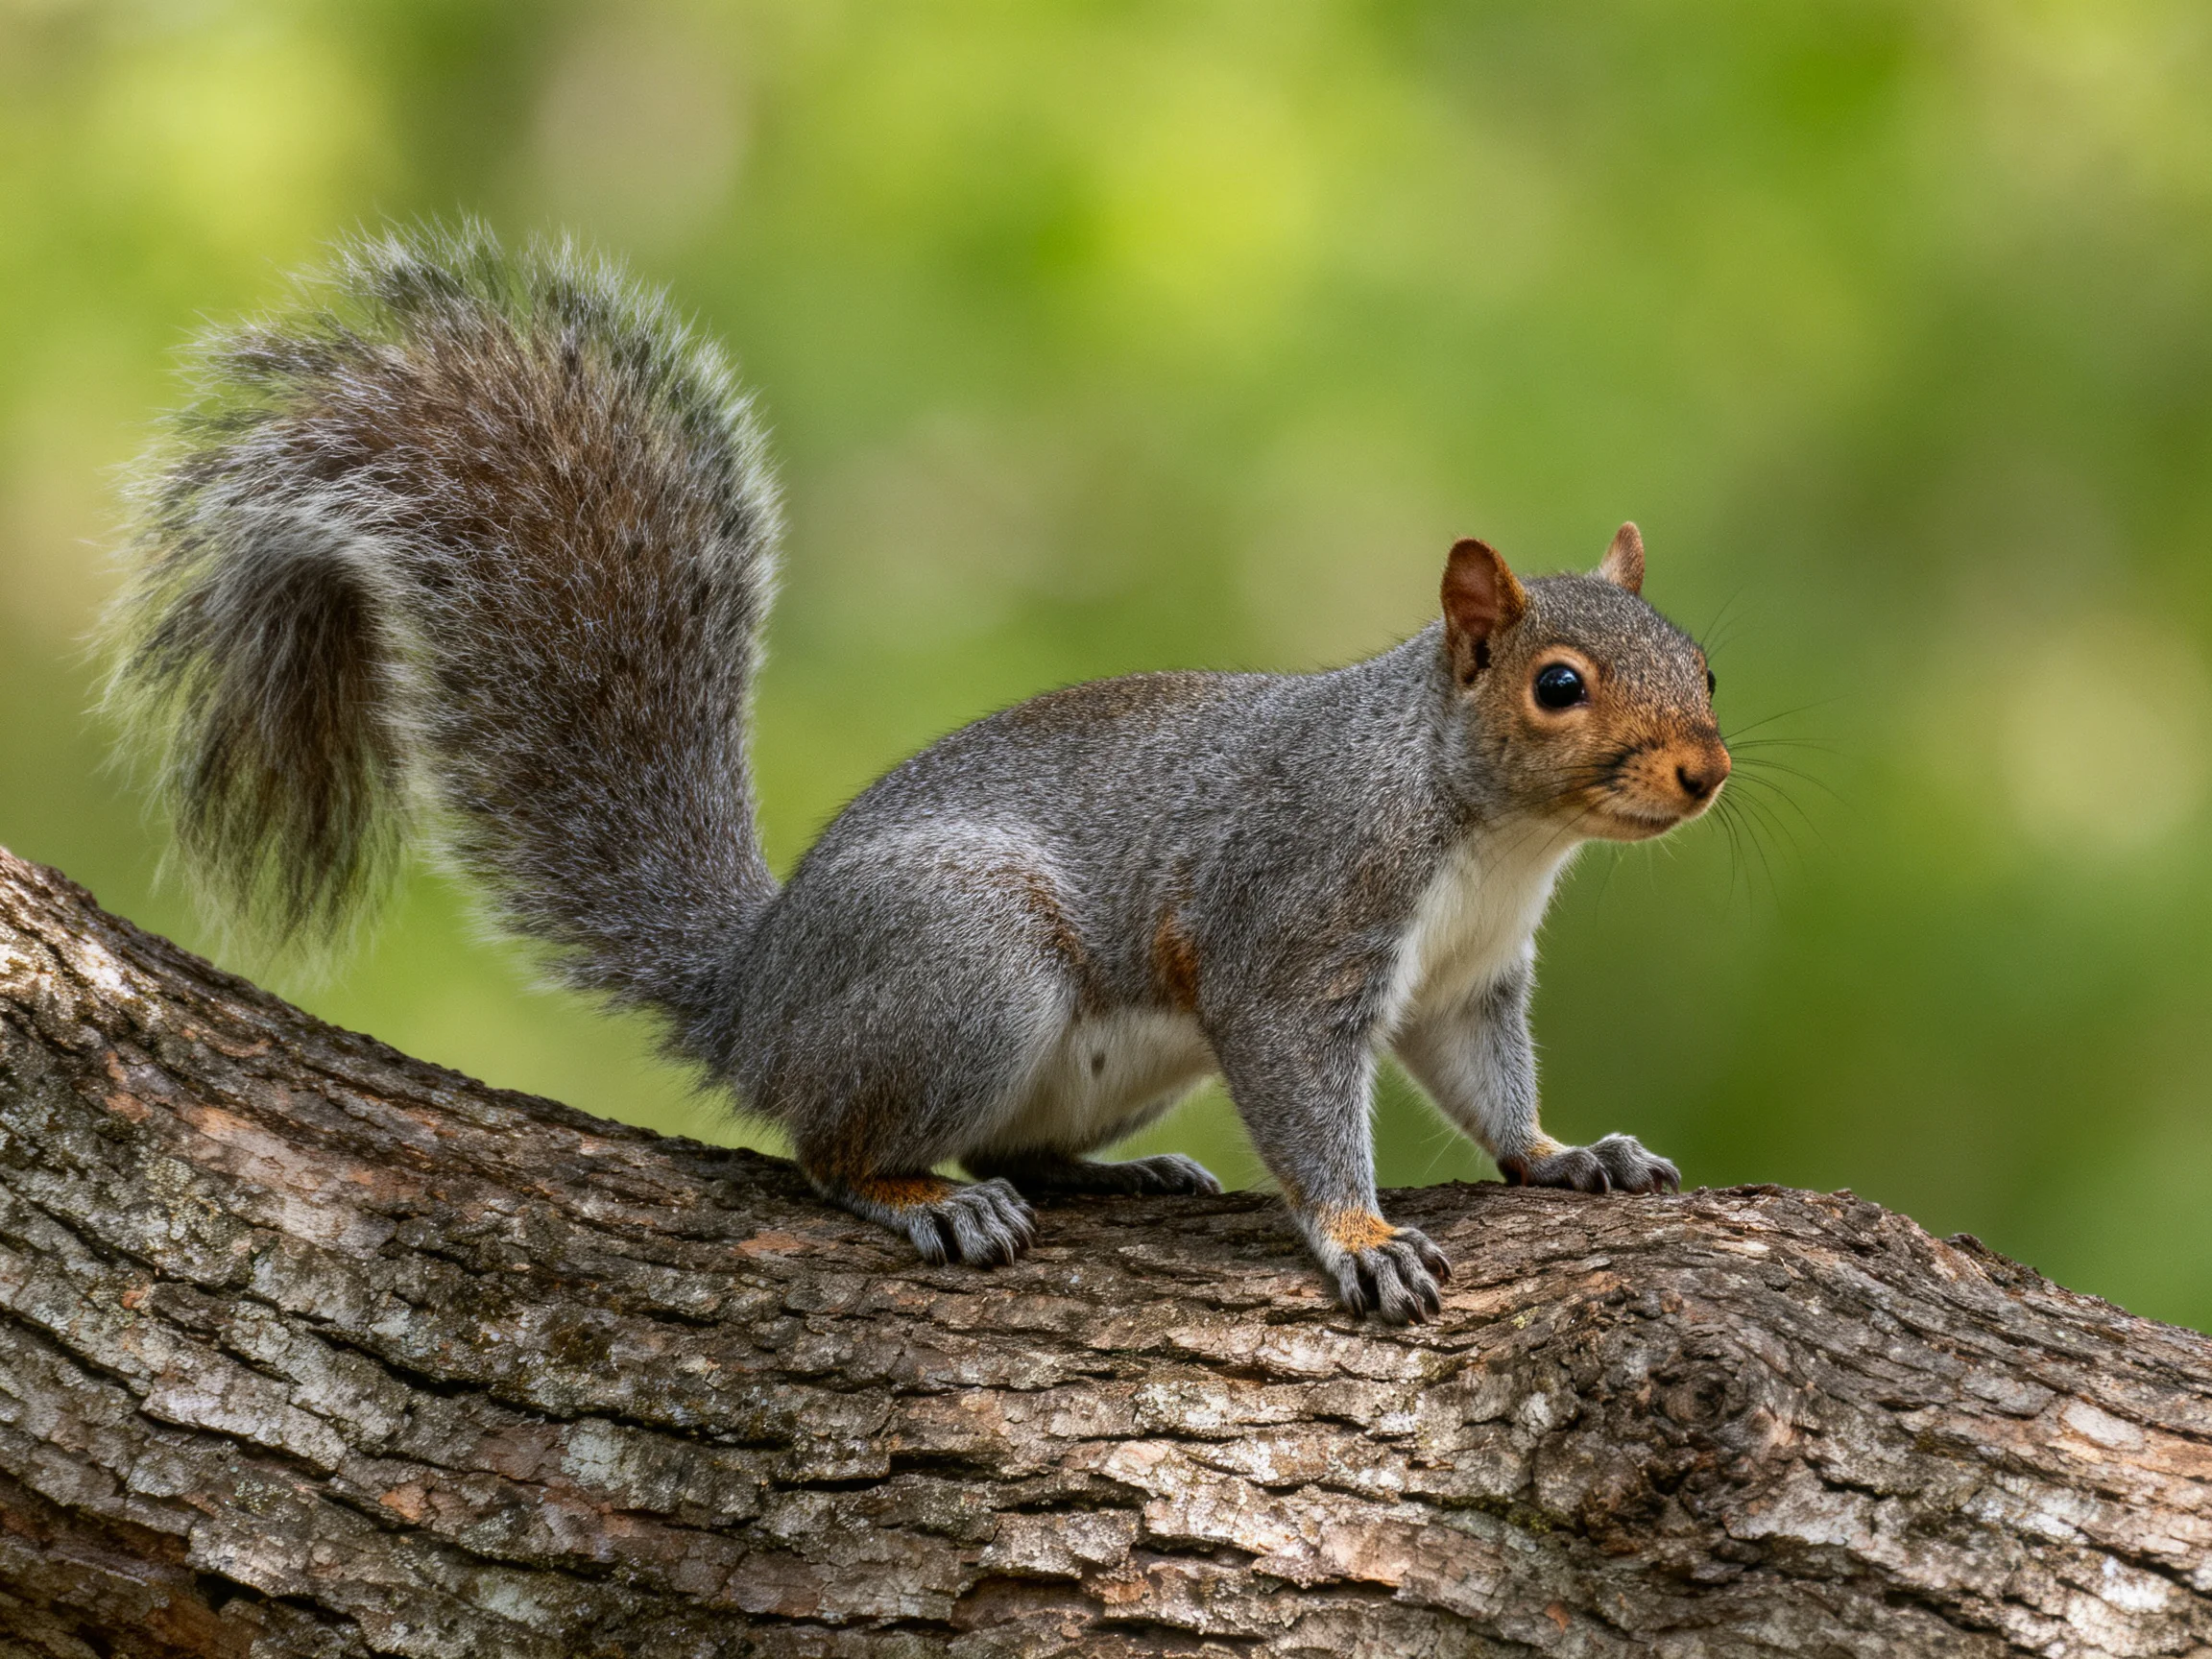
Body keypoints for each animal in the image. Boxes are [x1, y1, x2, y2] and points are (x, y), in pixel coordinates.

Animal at [108, 225, 1728, 1324]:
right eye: (1558, 685)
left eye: (1704, 664)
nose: (1707, 773)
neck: (1490, 834)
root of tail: (757, 1000)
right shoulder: (1299, 918)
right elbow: (1305, 1091)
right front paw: (1363, 1239)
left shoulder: (1471, 980)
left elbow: (1488, 1087)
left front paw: (1567, 1154)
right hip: (968, 968)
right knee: (827, 1150)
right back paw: (926, 1201)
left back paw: (1111, 1175)